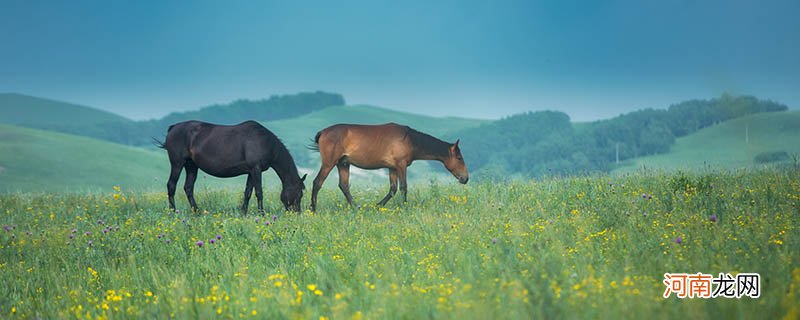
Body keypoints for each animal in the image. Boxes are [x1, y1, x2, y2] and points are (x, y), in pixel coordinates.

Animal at [157, 121, 306, 214]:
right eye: (299, 193)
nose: (296, 213)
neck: (265, 142)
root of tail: (173, 128)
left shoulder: (251, 172)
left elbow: (248, 193)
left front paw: (243, 213)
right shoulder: (256, 169)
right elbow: (259, 192)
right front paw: (262, 214)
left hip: (191, 166)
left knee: (188, 188)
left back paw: (197, 212)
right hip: (177, 164)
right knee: (171, 185)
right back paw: (173, 212)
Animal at [308, 124, 468, 211]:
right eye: (459, 158)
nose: (465, 178)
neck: (409, 139)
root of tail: (323, 132)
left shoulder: (392, 168)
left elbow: (393, 189)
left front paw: (377, 206)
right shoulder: (401, 165)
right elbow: (403, 187)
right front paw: (404, 206)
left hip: (343, 164)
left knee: (344, 186)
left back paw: (356, 207)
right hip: (329, 163)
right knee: (317, 182)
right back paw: (313, 209)